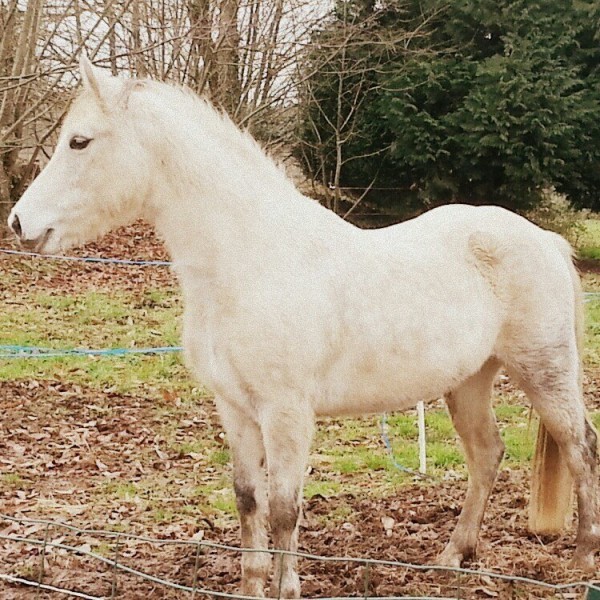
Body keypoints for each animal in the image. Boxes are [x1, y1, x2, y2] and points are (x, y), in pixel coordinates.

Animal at [7, 58, 596, 596]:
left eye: (80, 142)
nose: (19, 223)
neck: (250, 258)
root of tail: (545, 240)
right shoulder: (235, 408)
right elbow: (248, 500)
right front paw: (250, 586)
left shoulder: (286, 412)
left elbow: (285, 509)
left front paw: (285, 588)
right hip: (470, 382)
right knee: (488, 455)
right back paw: (454, 556)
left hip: (545, 373)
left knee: (580, 446)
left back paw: (582, 559)